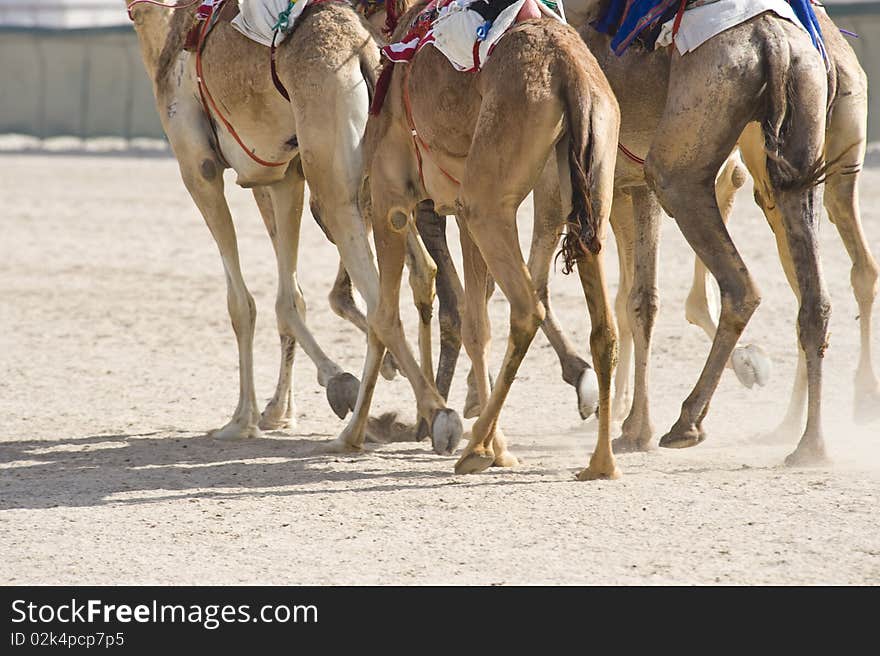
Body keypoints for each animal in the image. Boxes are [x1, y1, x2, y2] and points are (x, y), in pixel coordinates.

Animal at [127, 0, 458, 452]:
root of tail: (367, 51)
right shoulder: (278, 175)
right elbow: (289, 298)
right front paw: (281, 410)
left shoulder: (200, 168)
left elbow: (241, 303)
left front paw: (242, 419)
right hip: (377, 179)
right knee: (420, 273)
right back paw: (418, 415)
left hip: (332, 179)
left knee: (379, 300)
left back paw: (424, 418)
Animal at [360, 2, 624, 480]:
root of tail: (571, 72)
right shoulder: (458, 207)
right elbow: (475, 326)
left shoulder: (391, 196)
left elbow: (386, 316)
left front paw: (448, 424)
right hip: (589, 188)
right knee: (603, 329)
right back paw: (600, 463)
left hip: (487, 201)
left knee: (527, 309)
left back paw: (475, 449)